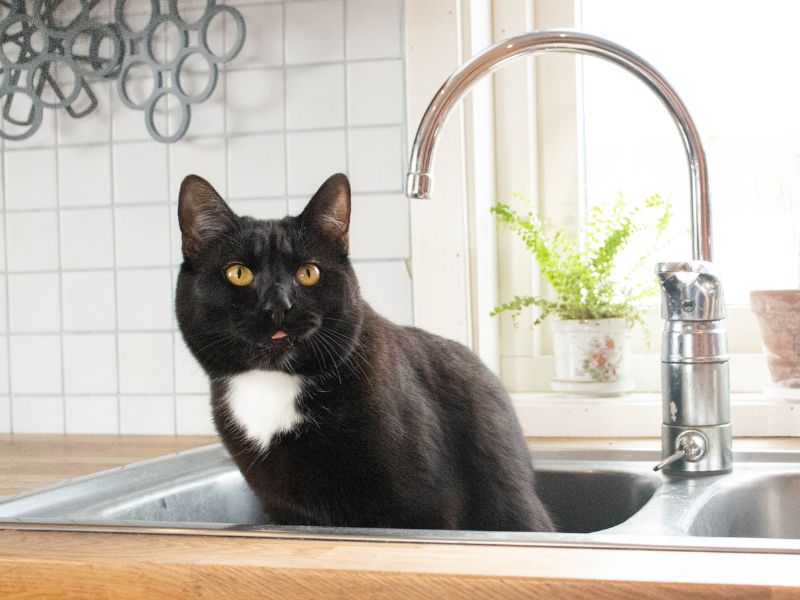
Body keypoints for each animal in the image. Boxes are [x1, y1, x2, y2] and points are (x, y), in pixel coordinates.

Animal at [175, 172, 552, 528]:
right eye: (238, 273)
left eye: (308, 272)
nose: (279, 306)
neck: (274, 384)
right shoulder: (286, 510)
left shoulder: (426, 507)